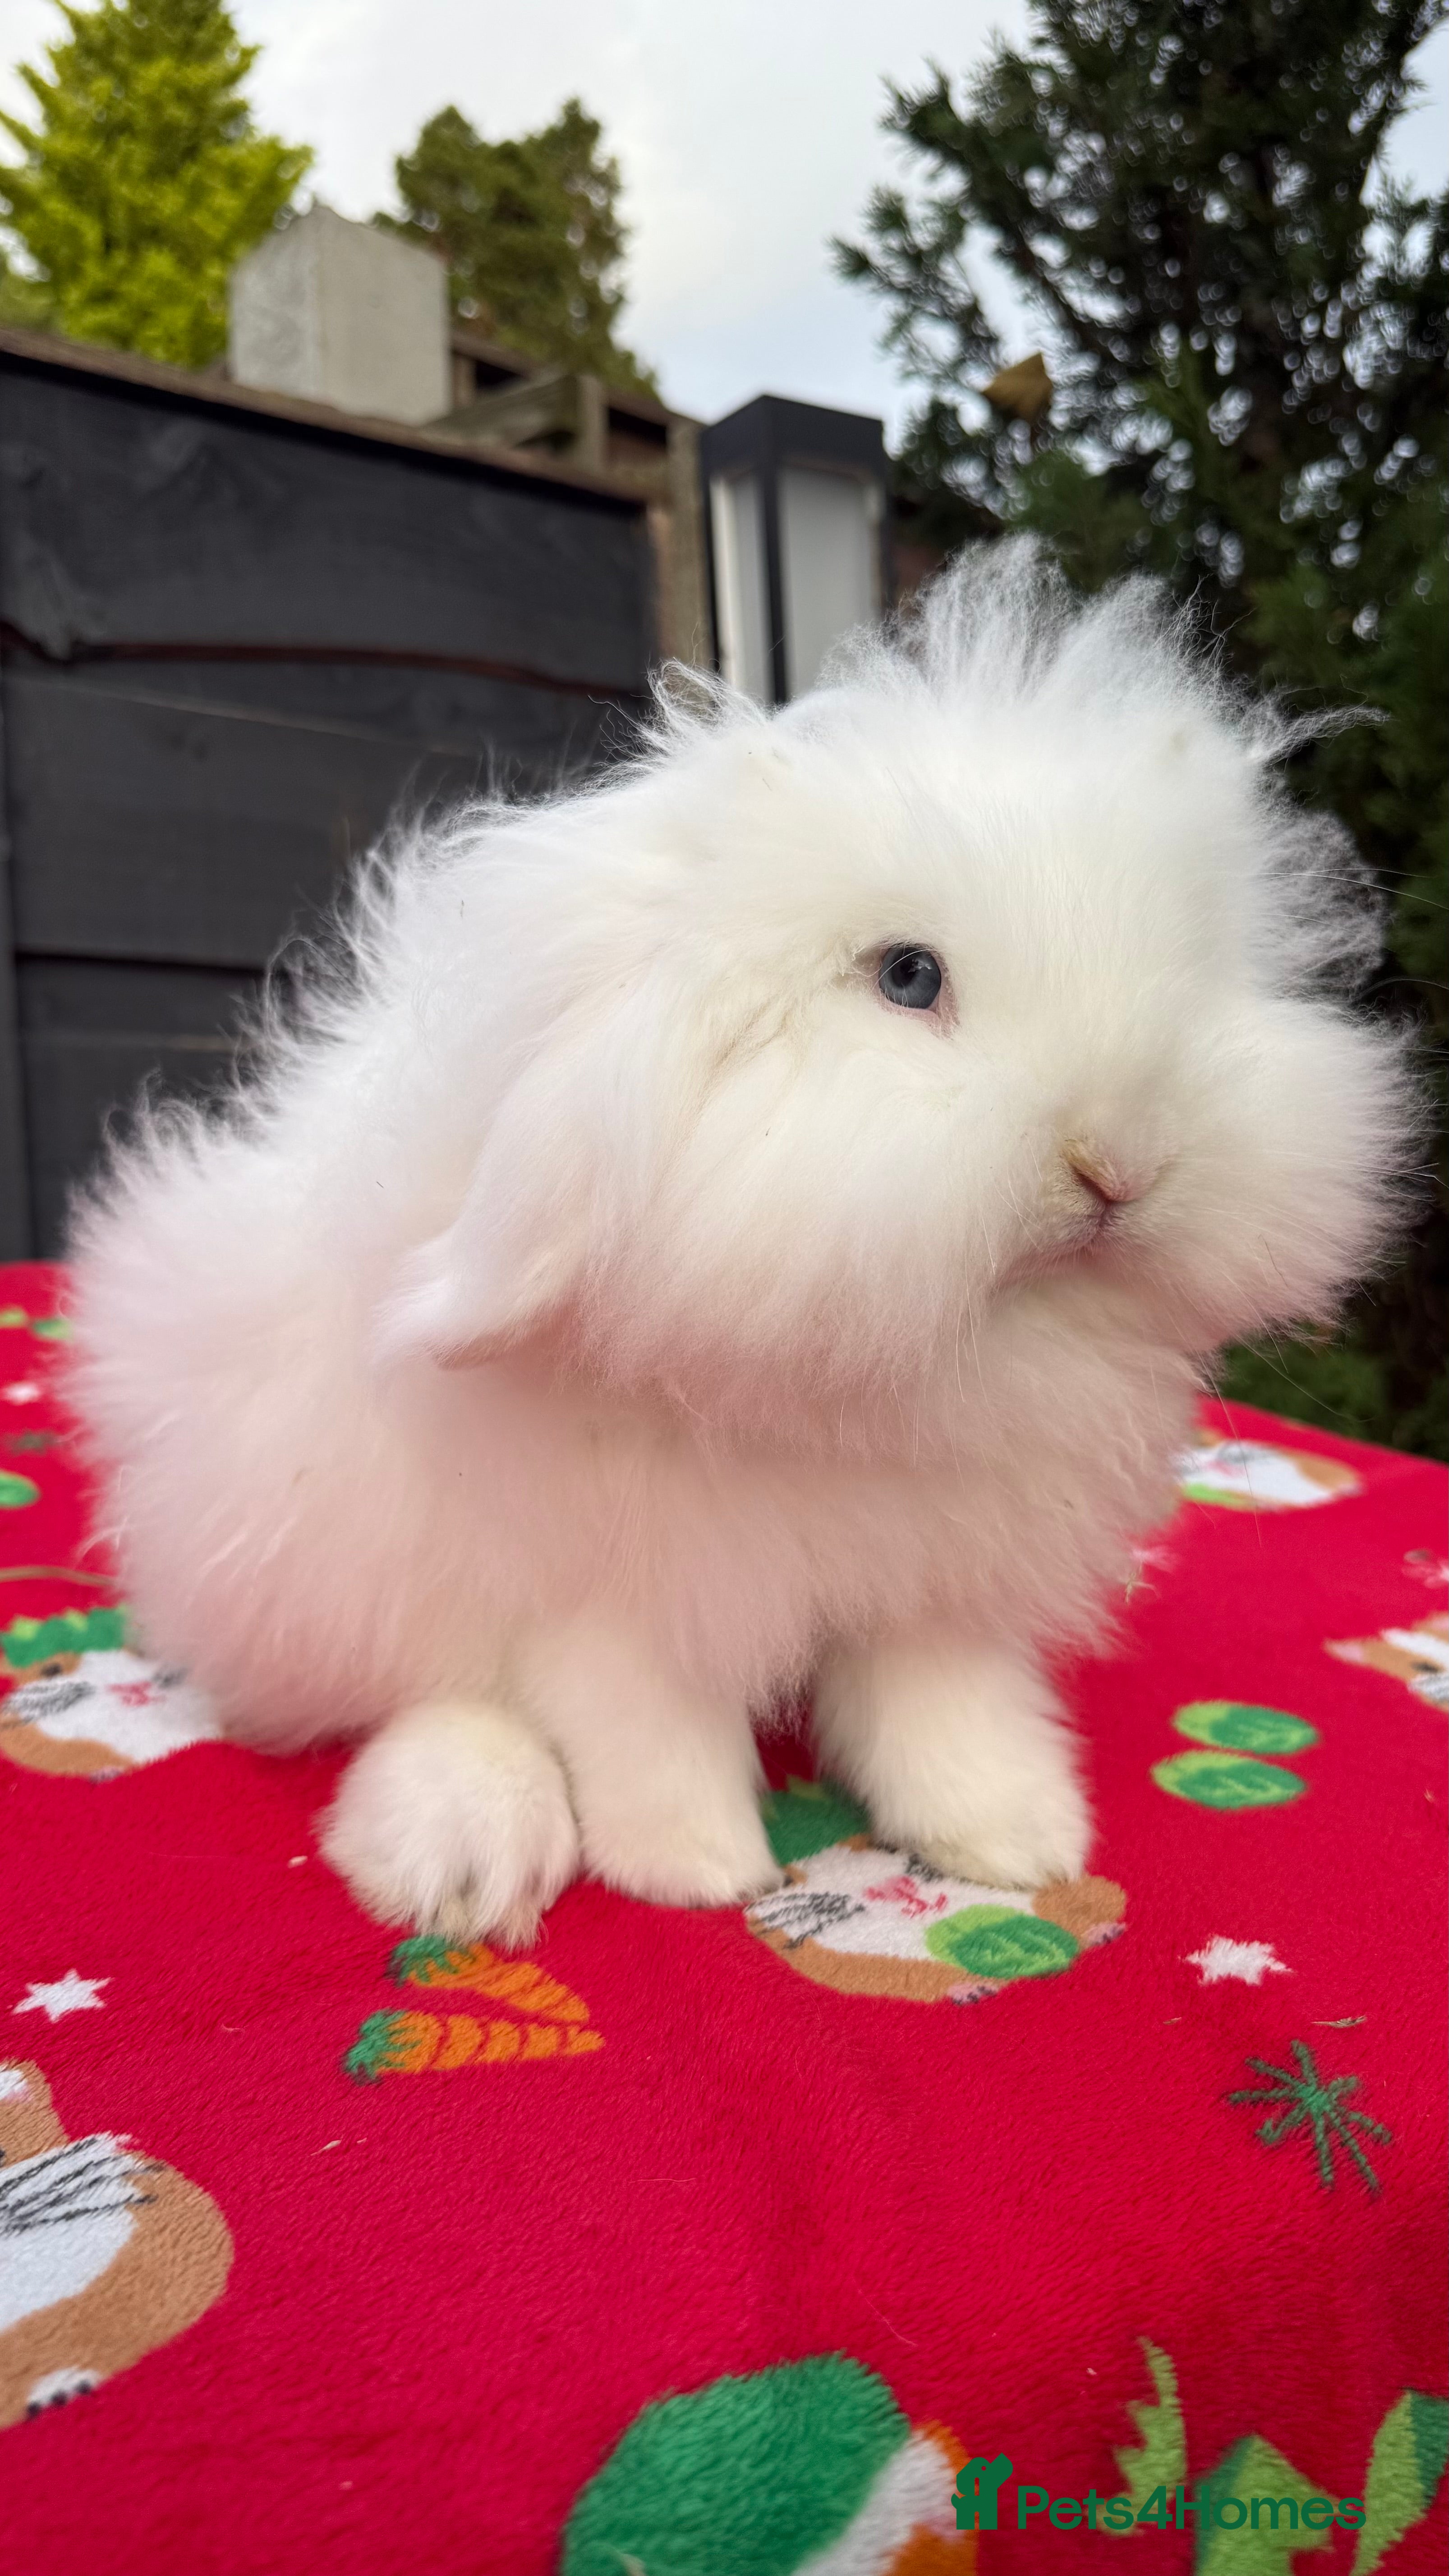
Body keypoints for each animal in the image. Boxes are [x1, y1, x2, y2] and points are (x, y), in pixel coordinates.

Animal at [65, 544, 1415, 1946]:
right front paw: (697, 1871)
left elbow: (944, 1710)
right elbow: (641, 1730)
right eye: (908, 978)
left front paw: (1016, 1839)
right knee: (422, 1694)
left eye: (1188, 970)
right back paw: (464, 1852)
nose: (1118, 1164)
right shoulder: (616, 1599)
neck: (885, 1380)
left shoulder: (932, 1585)